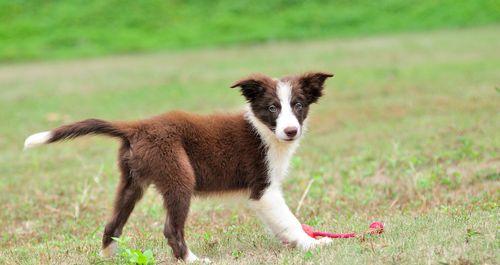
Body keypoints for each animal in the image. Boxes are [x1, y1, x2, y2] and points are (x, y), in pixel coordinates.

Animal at [25, 71, 334, 260]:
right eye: (272, 108)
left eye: (299, 105)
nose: (291, 131)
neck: (263, 131)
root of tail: (137, 127)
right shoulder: (263, 189)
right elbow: (289, 220)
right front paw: (310, 243)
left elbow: (280, 224)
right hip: (178, 174)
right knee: (170, 229)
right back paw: (193, 259)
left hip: (132, 181)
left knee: (112, 224)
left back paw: (108, 258)